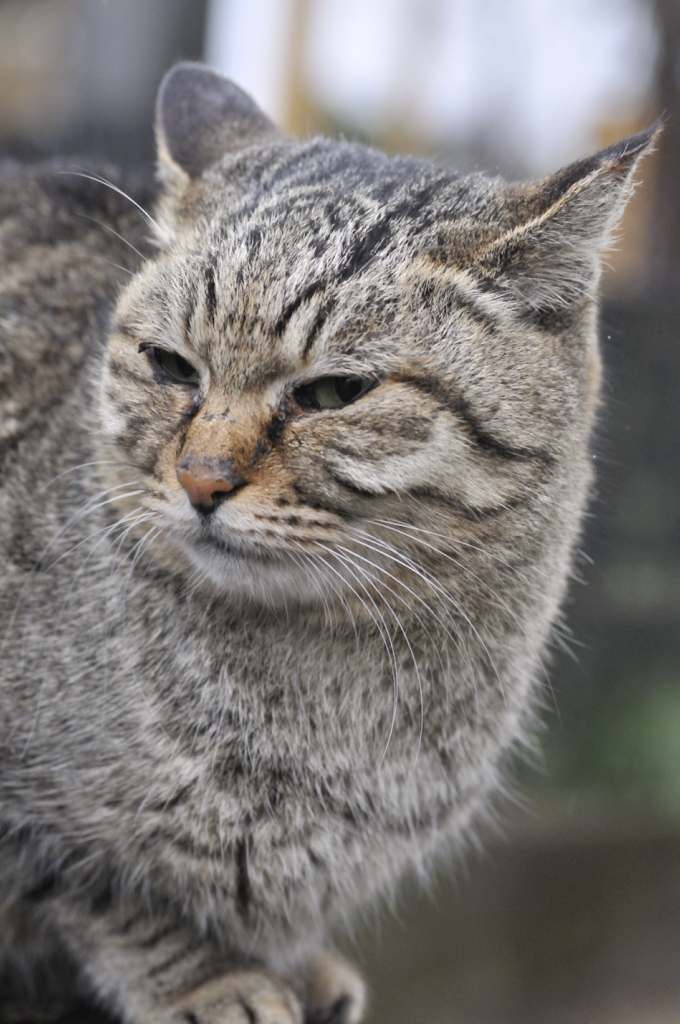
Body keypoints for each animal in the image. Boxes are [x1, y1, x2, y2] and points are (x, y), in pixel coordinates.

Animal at [0, 61, 655, 1024]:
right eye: (171, 367)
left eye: (335, 393)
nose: (200, 479)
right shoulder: (44, 840)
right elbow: (106, 892)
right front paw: (213, 979)